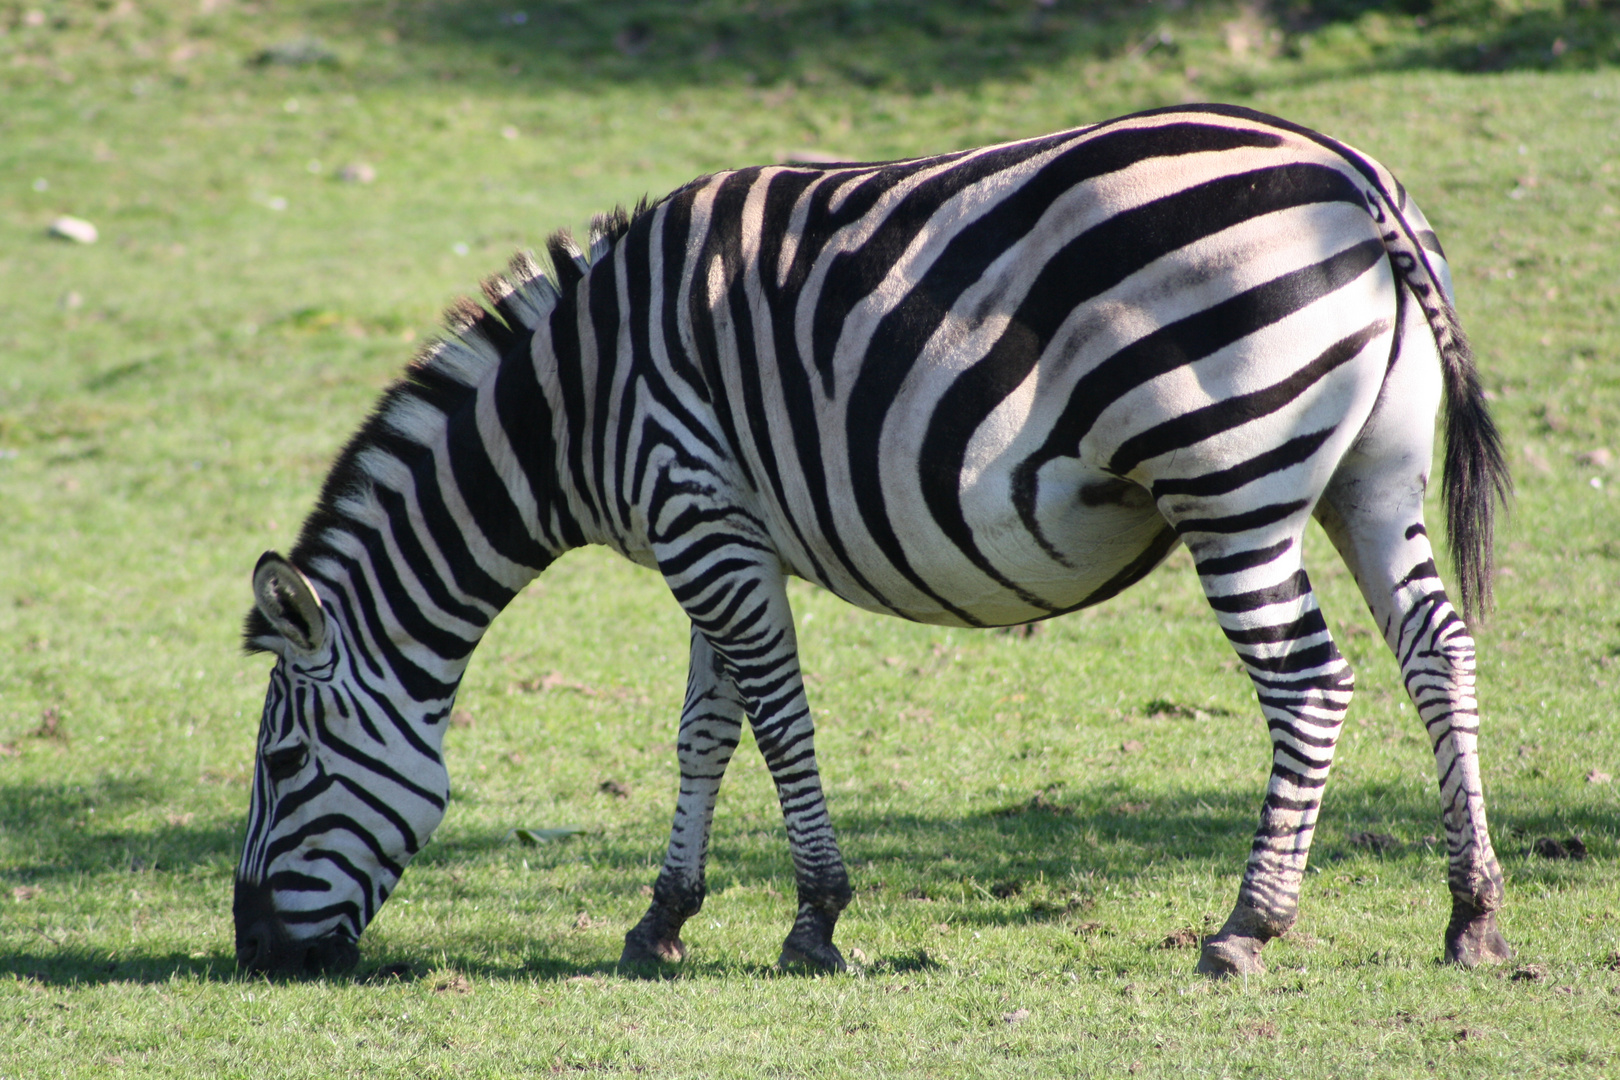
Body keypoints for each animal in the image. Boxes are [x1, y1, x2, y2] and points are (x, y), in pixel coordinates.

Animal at [234, 103, 1509, 977]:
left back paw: (1246, 928)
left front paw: (814, 920)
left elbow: (777, 723)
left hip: (1228, 480)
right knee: (1437, 650)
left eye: (284, 764)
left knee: (1311, 685)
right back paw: (1472, 914)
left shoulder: (700, 519)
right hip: (1368, 476)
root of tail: (1350, 176)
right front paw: (663, 919)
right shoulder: (717, 534)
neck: (574, 401)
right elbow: (705, 732)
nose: (254, 955)